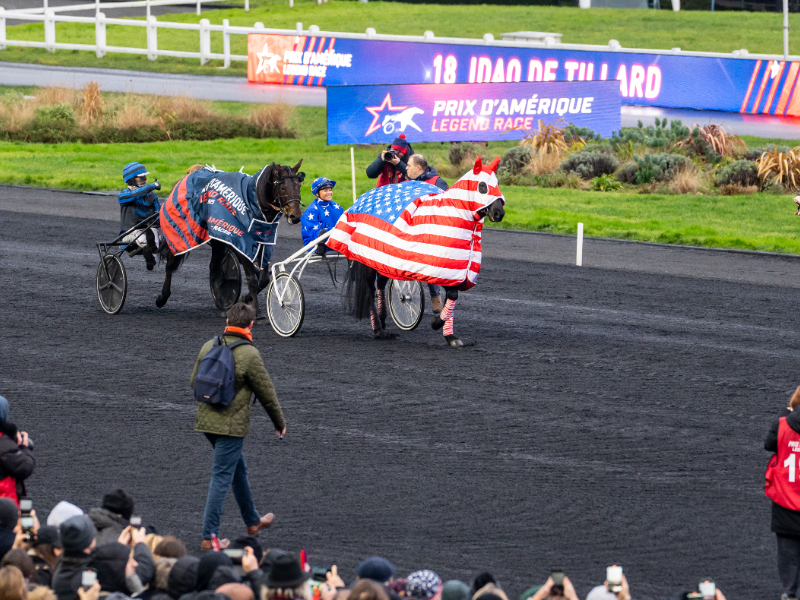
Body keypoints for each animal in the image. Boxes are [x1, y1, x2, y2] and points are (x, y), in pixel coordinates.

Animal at [155, 161, 305, 313]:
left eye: (299, 186)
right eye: (283, 187)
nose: (296, 216)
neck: (252, 204)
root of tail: (191, 171)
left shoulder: (263, 242)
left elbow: (264, 279)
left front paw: (245, 298)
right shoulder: (242, 240)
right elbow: (252, 280)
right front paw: (256, 312)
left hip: (218, 239)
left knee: (214, 267)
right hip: (181, 231)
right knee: (172, 262)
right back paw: (163, 297)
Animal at [335, 156, 506, 347]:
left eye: (497, 183)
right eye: (482, 186)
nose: (499, 213)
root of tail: (361, 199)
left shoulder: (453, 269)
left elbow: (452, 297)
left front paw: (450, 335)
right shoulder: (438, 267)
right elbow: (451, 295)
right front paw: (437, 323)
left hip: (384, 260)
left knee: (380, 284)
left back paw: (383, 319)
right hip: (367, 261)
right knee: (370, 290)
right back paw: (378, 329)